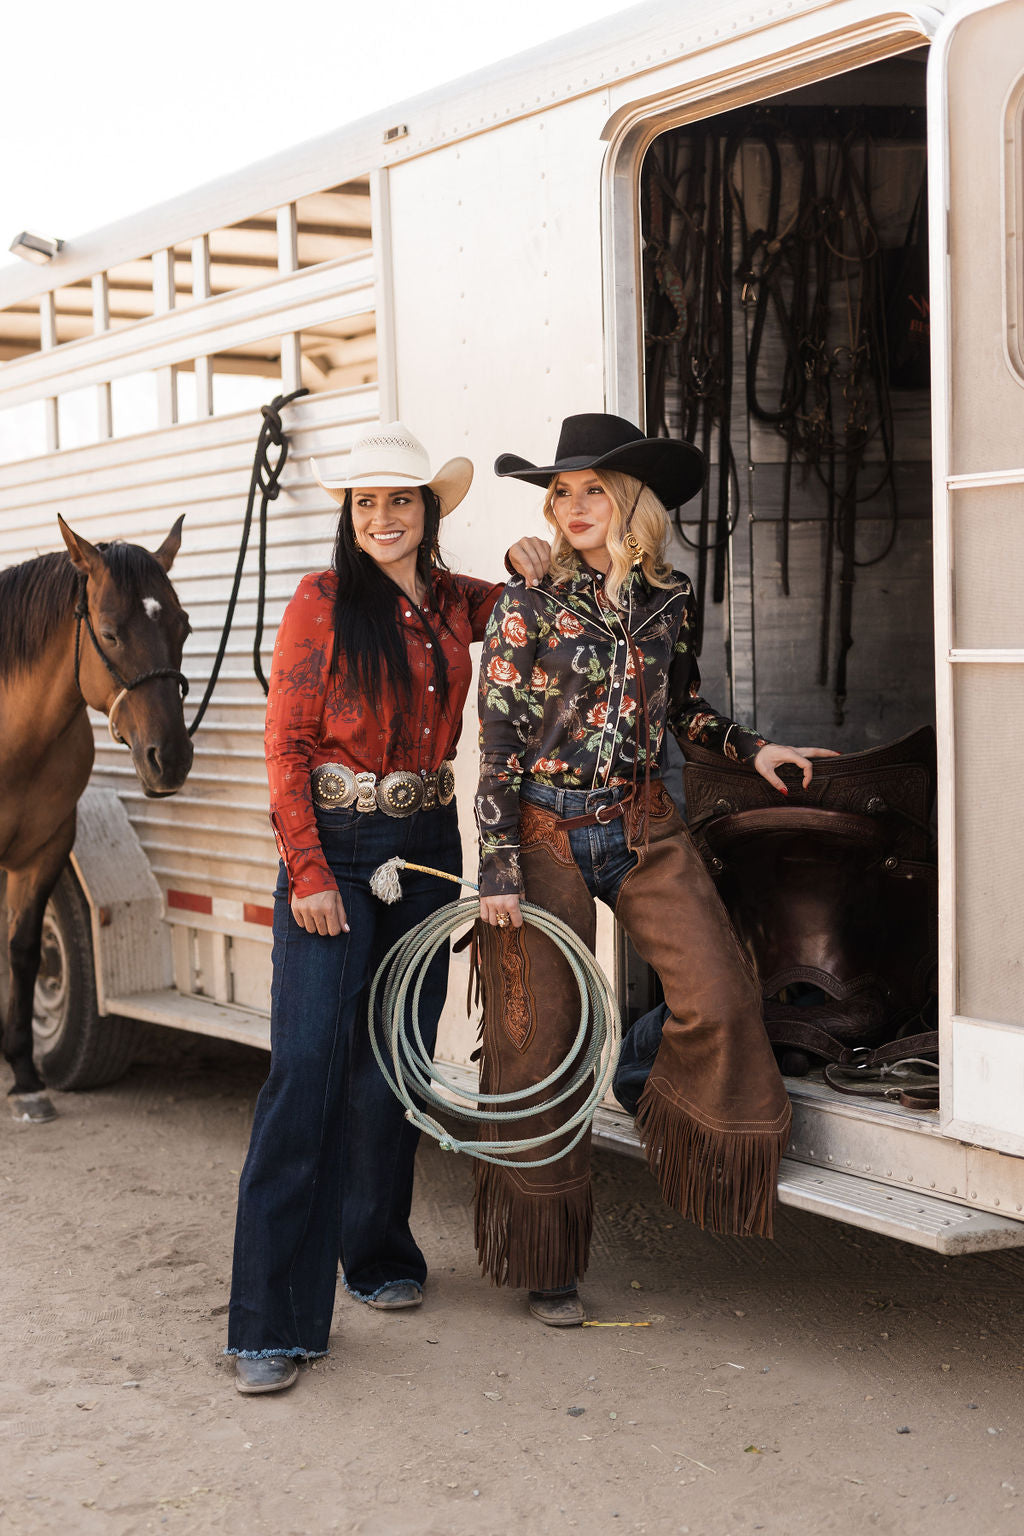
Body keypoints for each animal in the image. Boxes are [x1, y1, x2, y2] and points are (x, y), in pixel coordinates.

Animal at [0, 513, 193, 1118]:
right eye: (109, 633)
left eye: (183, 626)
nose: (170, 758)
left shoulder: (44, 852)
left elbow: (24, 951)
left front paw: (25, 1075)